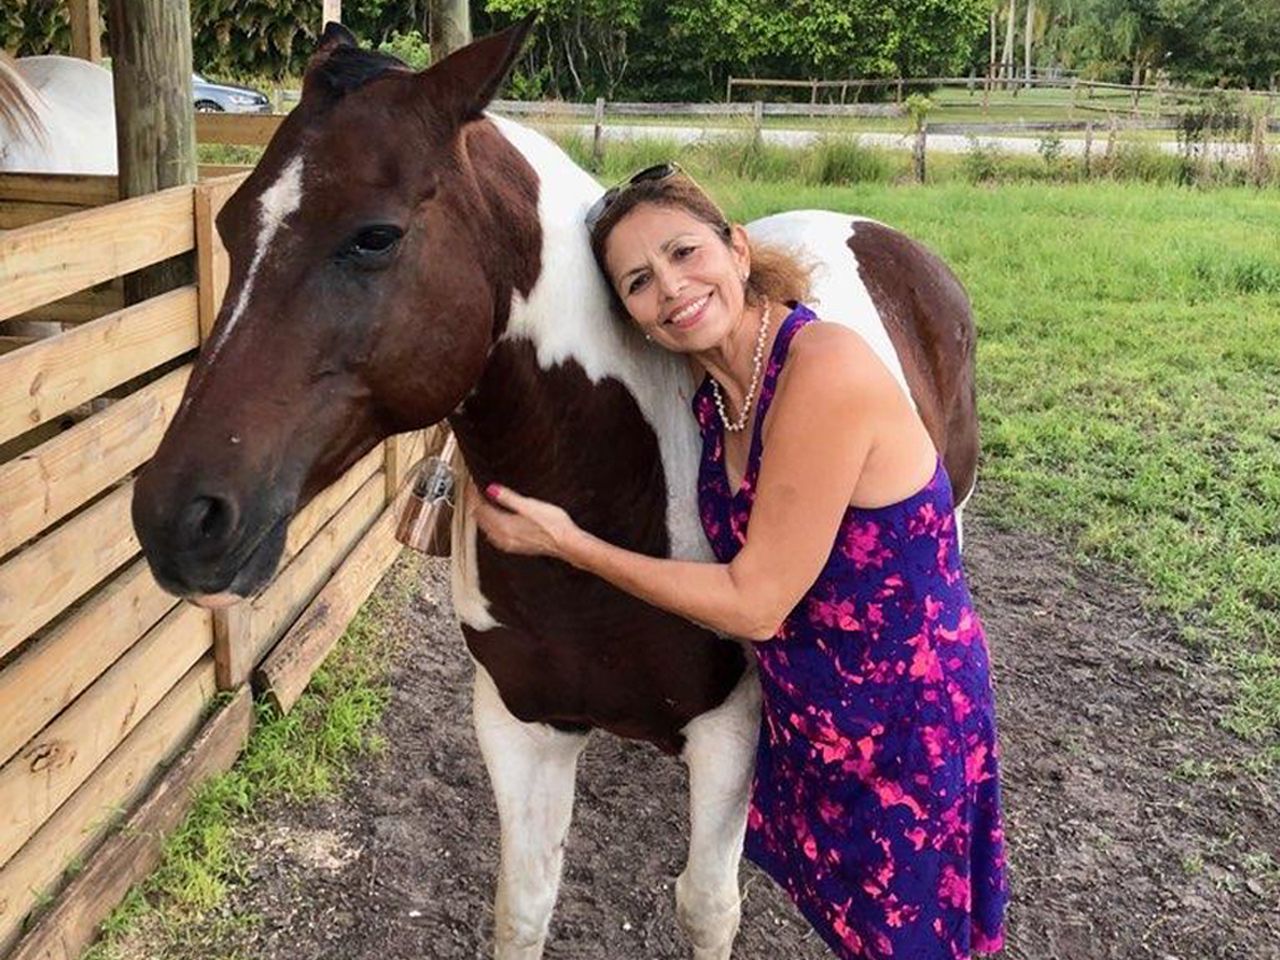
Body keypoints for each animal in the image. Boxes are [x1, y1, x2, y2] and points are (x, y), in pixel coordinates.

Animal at [129, 16, 972, 960]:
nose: (177, 517)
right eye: (231, 225)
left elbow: (706, 905)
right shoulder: (521, 728)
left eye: (375, 236)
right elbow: (524, 904)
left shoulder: (731, 731)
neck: (620, 488)